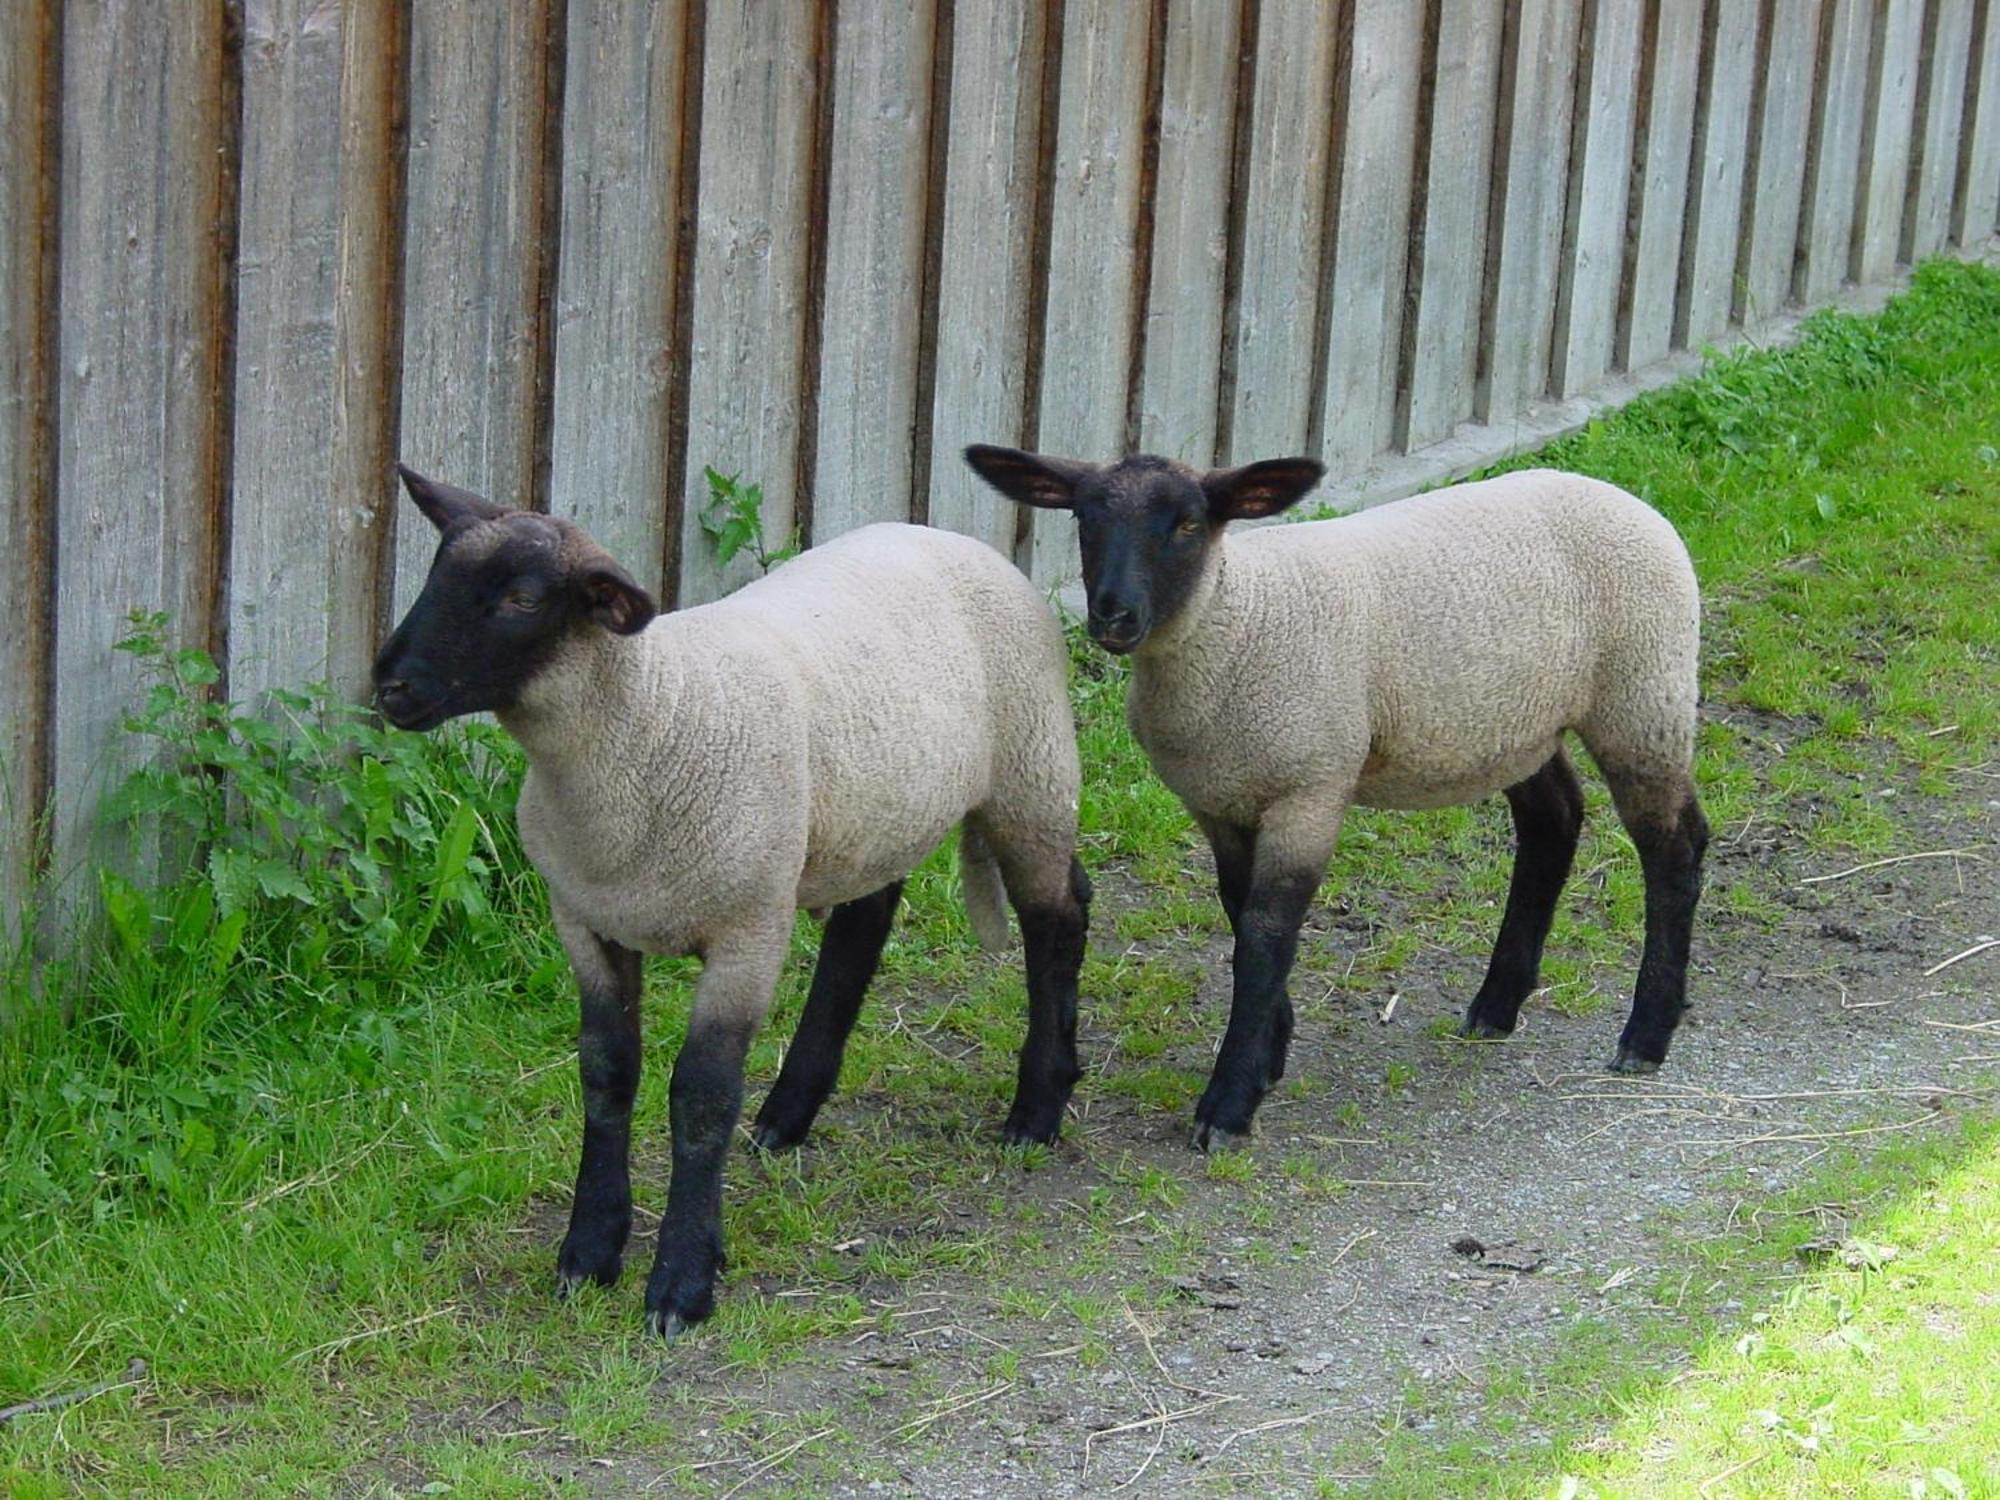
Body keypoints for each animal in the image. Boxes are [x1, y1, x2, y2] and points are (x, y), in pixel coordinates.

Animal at [376, 468, 1096, 1336]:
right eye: (435, 572)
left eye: (521, 597)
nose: (391, 684)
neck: (649, 718)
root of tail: (952, 537)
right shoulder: (586, 923)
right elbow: (605, 1075)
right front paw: (590, 1251)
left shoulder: (746, 931)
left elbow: (701, 1097)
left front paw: (681, 1282)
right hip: (872, 810)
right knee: (866, 923)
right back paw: (790, 1113)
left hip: (1031, 772)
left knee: (1059, 916)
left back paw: (1037, 1107)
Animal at [964, 446, 1704, 1152]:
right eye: (1084, 520)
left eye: (1188, 525)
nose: (1114, 615)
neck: (1236, 617)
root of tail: (1623, 499)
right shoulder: (1222, 800)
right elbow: (1239, 912)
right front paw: (1268, 1055)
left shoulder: (1310, 788)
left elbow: (1267, 934)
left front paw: (1228, 1106)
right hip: (1514, 723)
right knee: (1554, 821)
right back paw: (1496, 1007)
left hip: (1643, 694)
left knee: (1674, 846)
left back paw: (1645, 1035)